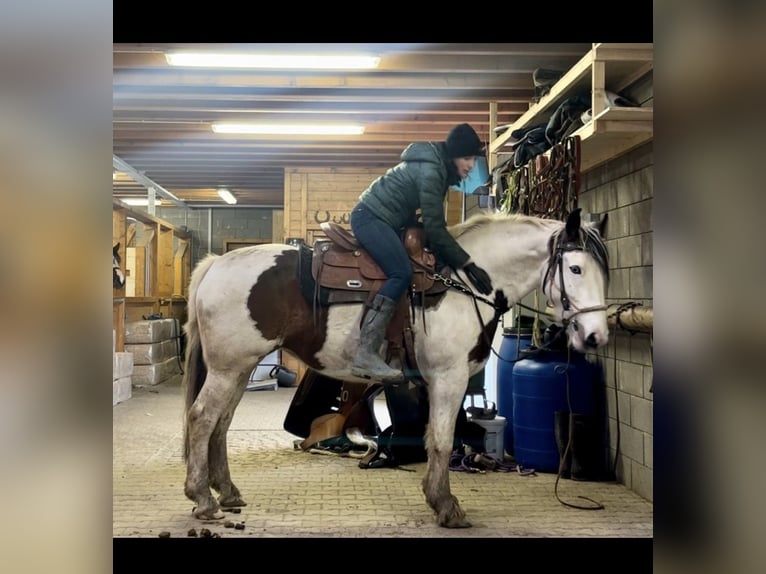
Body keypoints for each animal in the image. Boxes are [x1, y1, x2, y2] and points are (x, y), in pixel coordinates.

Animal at [180, 209, 612, 528]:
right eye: (575, 269)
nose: (596, 336)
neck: (465, 283)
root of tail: (216, 264)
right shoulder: (448, 378)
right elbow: (442, 441)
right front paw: (446, 507)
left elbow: (434, 437)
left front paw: (438, 499)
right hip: (227, 368)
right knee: (202, 419)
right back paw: (203, 499)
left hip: (239, 369)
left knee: (220, 424)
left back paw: (227, 492)